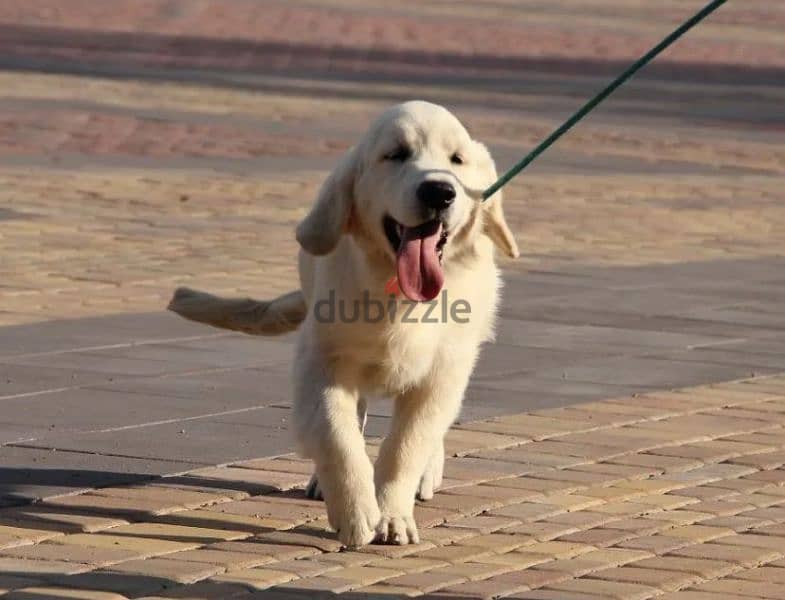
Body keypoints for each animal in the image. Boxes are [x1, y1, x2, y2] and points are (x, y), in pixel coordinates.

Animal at [168, 101, 516, 548]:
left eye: (457, 159)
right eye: (396, 155)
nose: (439, 191)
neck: (396, 294)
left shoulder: (442, 373)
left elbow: (407, 444)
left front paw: (392, 514)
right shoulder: (322, 363)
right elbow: (338, 436)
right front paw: (356, 512)